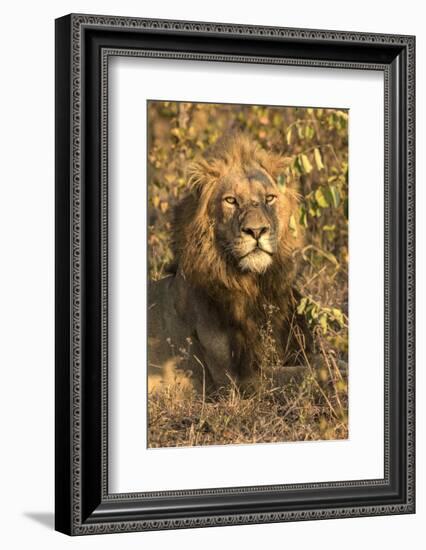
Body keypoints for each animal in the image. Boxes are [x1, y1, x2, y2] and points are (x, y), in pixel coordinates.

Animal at [148, 132, 312, 394]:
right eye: (231, 200)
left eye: (269, 198)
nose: (256, 231)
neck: (254, 286)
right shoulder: (237, 379)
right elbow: (308, 373)